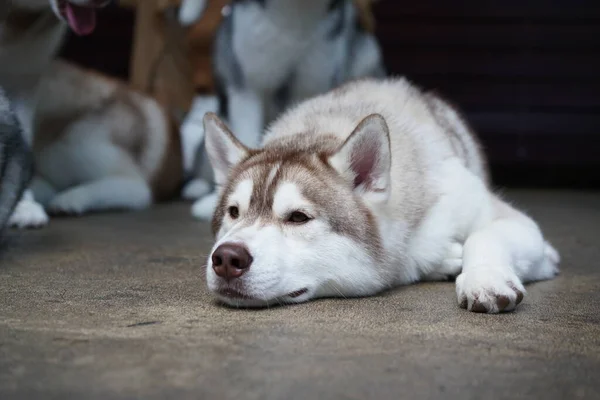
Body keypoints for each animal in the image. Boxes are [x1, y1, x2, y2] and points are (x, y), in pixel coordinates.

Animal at [203, 77, 564, 312]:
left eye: (298, 217)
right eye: (234, 212)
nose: (226, 258)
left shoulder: (518, 227)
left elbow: (484, 235)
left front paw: (485, 279)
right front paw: (444, 260)